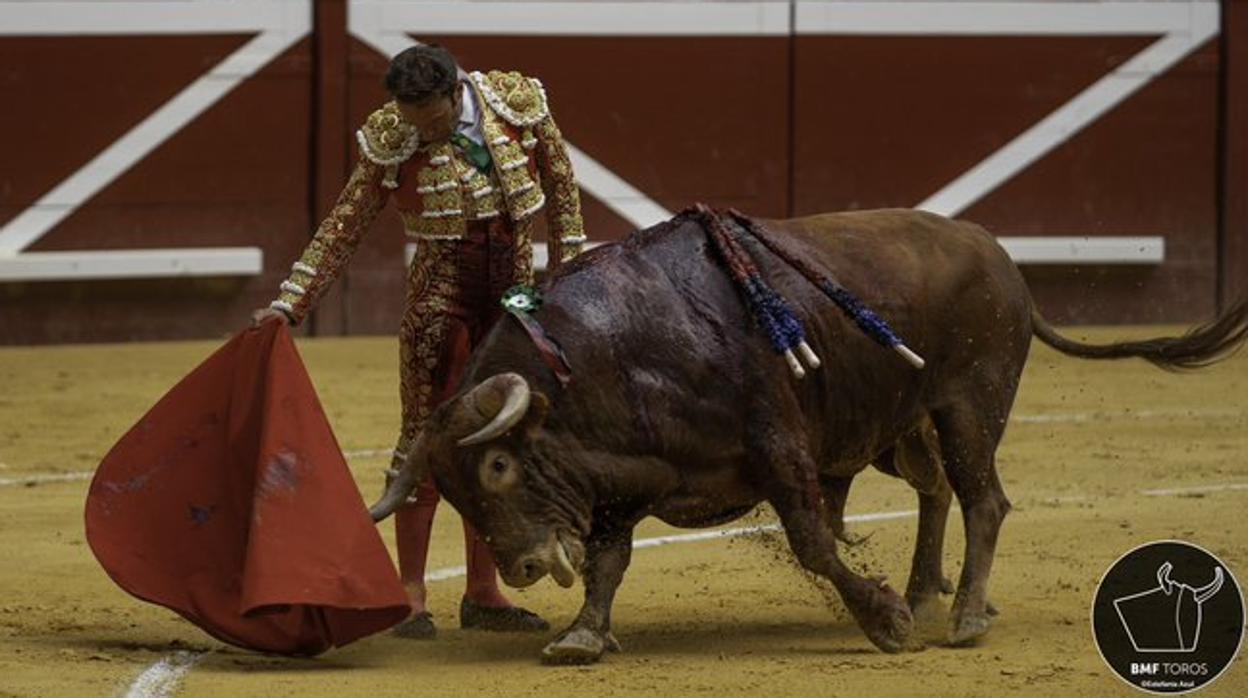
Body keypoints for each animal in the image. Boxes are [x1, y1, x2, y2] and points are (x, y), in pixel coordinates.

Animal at [364, 208, 1243, 664]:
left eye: (500, 465)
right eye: (456, 492)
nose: (522, 567)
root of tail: (999, 256)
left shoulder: (778, 447)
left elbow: (814, 542)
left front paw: (883, 621)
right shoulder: (626, 480)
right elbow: (610, 561)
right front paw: (583, 635)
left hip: (970, 405)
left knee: (984, 499)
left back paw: (962, 616)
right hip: (902, 426)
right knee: (937, 492)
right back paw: (928, 591)